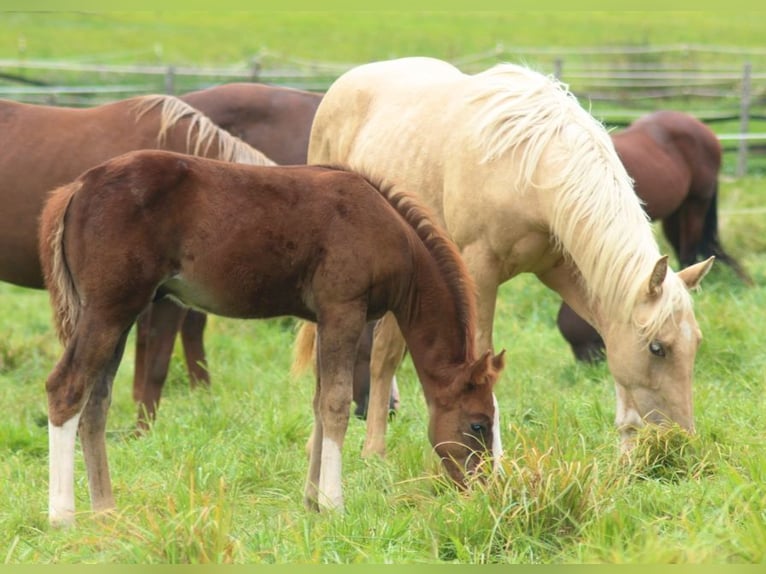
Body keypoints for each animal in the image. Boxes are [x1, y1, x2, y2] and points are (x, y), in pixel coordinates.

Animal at [40, 151, 510, 528]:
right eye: (478, 424)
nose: (487, 490)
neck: (386, 229)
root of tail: (78, 188)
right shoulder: (343, 310)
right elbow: (337, 404)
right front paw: (334, 504)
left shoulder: (324, 317)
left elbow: (319, 403)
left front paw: (312, 502)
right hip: (109, 309)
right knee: (67, 388)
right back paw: (63, 516)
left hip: (118, 314)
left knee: (96, 403)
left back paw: (106, 512)